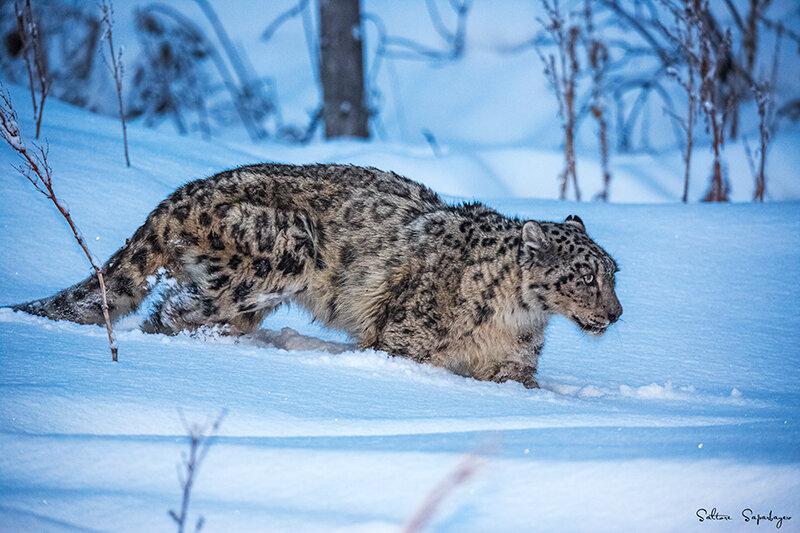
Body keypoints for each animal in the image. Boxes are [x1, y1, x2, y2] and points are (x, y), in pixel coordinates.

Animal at [15, 162, 620, 386]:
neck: (514, 318)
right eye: (586, 275)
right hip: (281, 251)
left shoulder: (515, 365)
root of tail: (181, 195)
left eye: (614, 272)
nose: (616, 313)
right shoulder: (406, 341)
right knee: (171, 311)